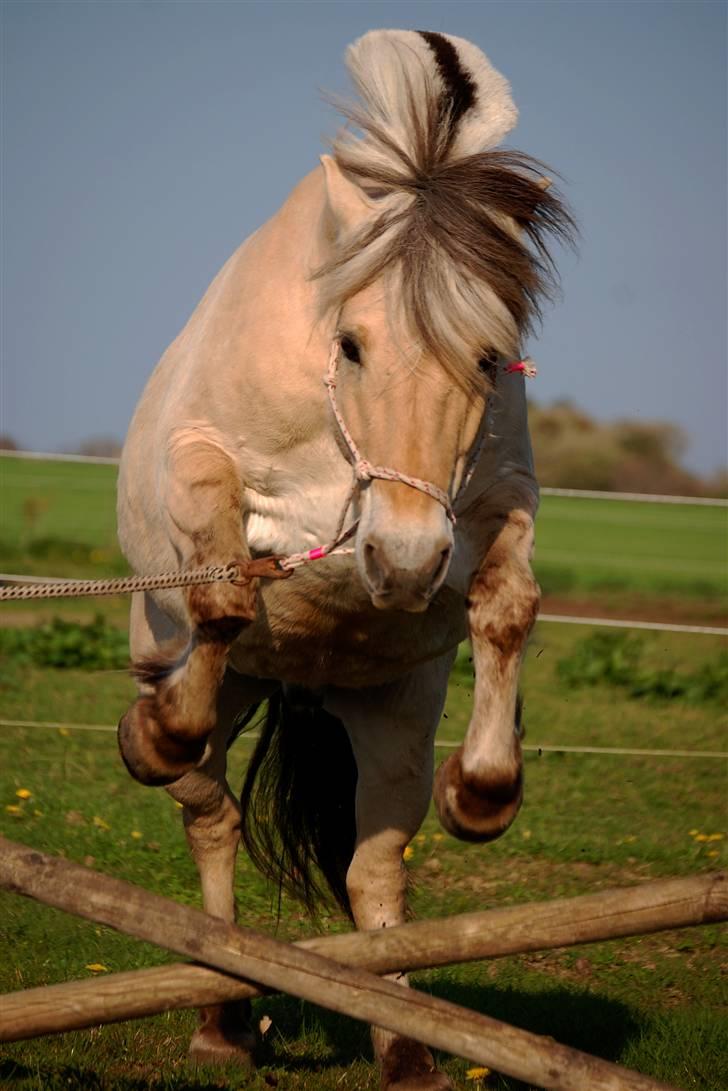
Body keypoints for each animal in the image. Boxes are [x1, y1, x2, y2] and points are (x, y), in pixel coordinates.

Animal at [116, 27, 571, 1091]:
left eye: (488, 357)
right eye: (354, 345)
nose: (402, 563)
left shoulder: (495, 501)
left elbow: (509, 605)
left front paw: (483, 793)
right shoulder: (201, 460)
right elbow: (225, 590)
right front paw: (149, 732)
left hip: (392, 711)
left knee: (374, 865)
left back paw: (406, 1048)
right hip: (220, 681)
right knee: (210, 814)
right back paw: (221, 1018)